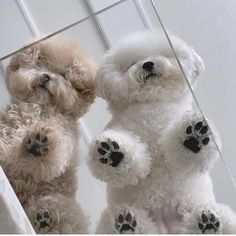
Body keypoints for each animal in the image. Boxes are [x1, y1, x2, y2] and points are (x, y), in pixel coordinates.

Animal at [0, 36, 96, 233]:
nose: (46, 76)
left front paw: (39, 143)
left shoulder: (63, 143)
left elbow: (46, 159)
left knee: (62, 219)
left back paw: (45, 217)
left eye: (64, 75)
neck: (40, 107)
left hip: (64, 205)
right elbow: (7, 141)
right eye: (39, 63)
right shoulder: (8, 126)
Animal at [88, 30, 236, 234]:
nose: (148, 64)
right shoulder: (123, 132)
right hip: (110, 219)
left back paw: (207, 222)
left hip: (205, 209)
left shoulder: (178, 150)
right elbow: (130, 166)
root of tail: (166, 229)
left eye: (163, 55)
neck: (152, 103)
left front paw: (195, 136)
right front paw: (111, 153)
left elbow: (186, 155)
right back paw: (128, 223)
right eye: (131, 64)